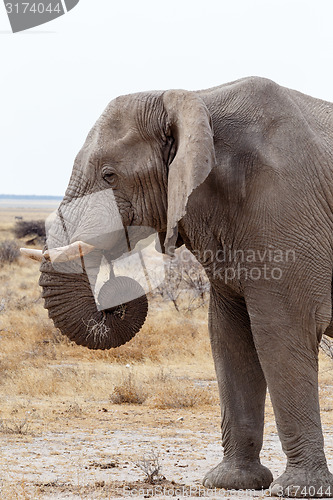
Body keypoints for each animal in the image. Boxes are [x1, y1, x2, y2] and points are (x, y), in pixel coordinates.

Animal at [23, 77, 333, 496]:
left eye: (109, 175)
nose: (113, 302)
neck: (197, 100)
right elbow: (229, 336)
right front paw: (231, 482)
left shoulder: (285, 202)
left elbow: (280, 332)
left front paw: (299, 490)